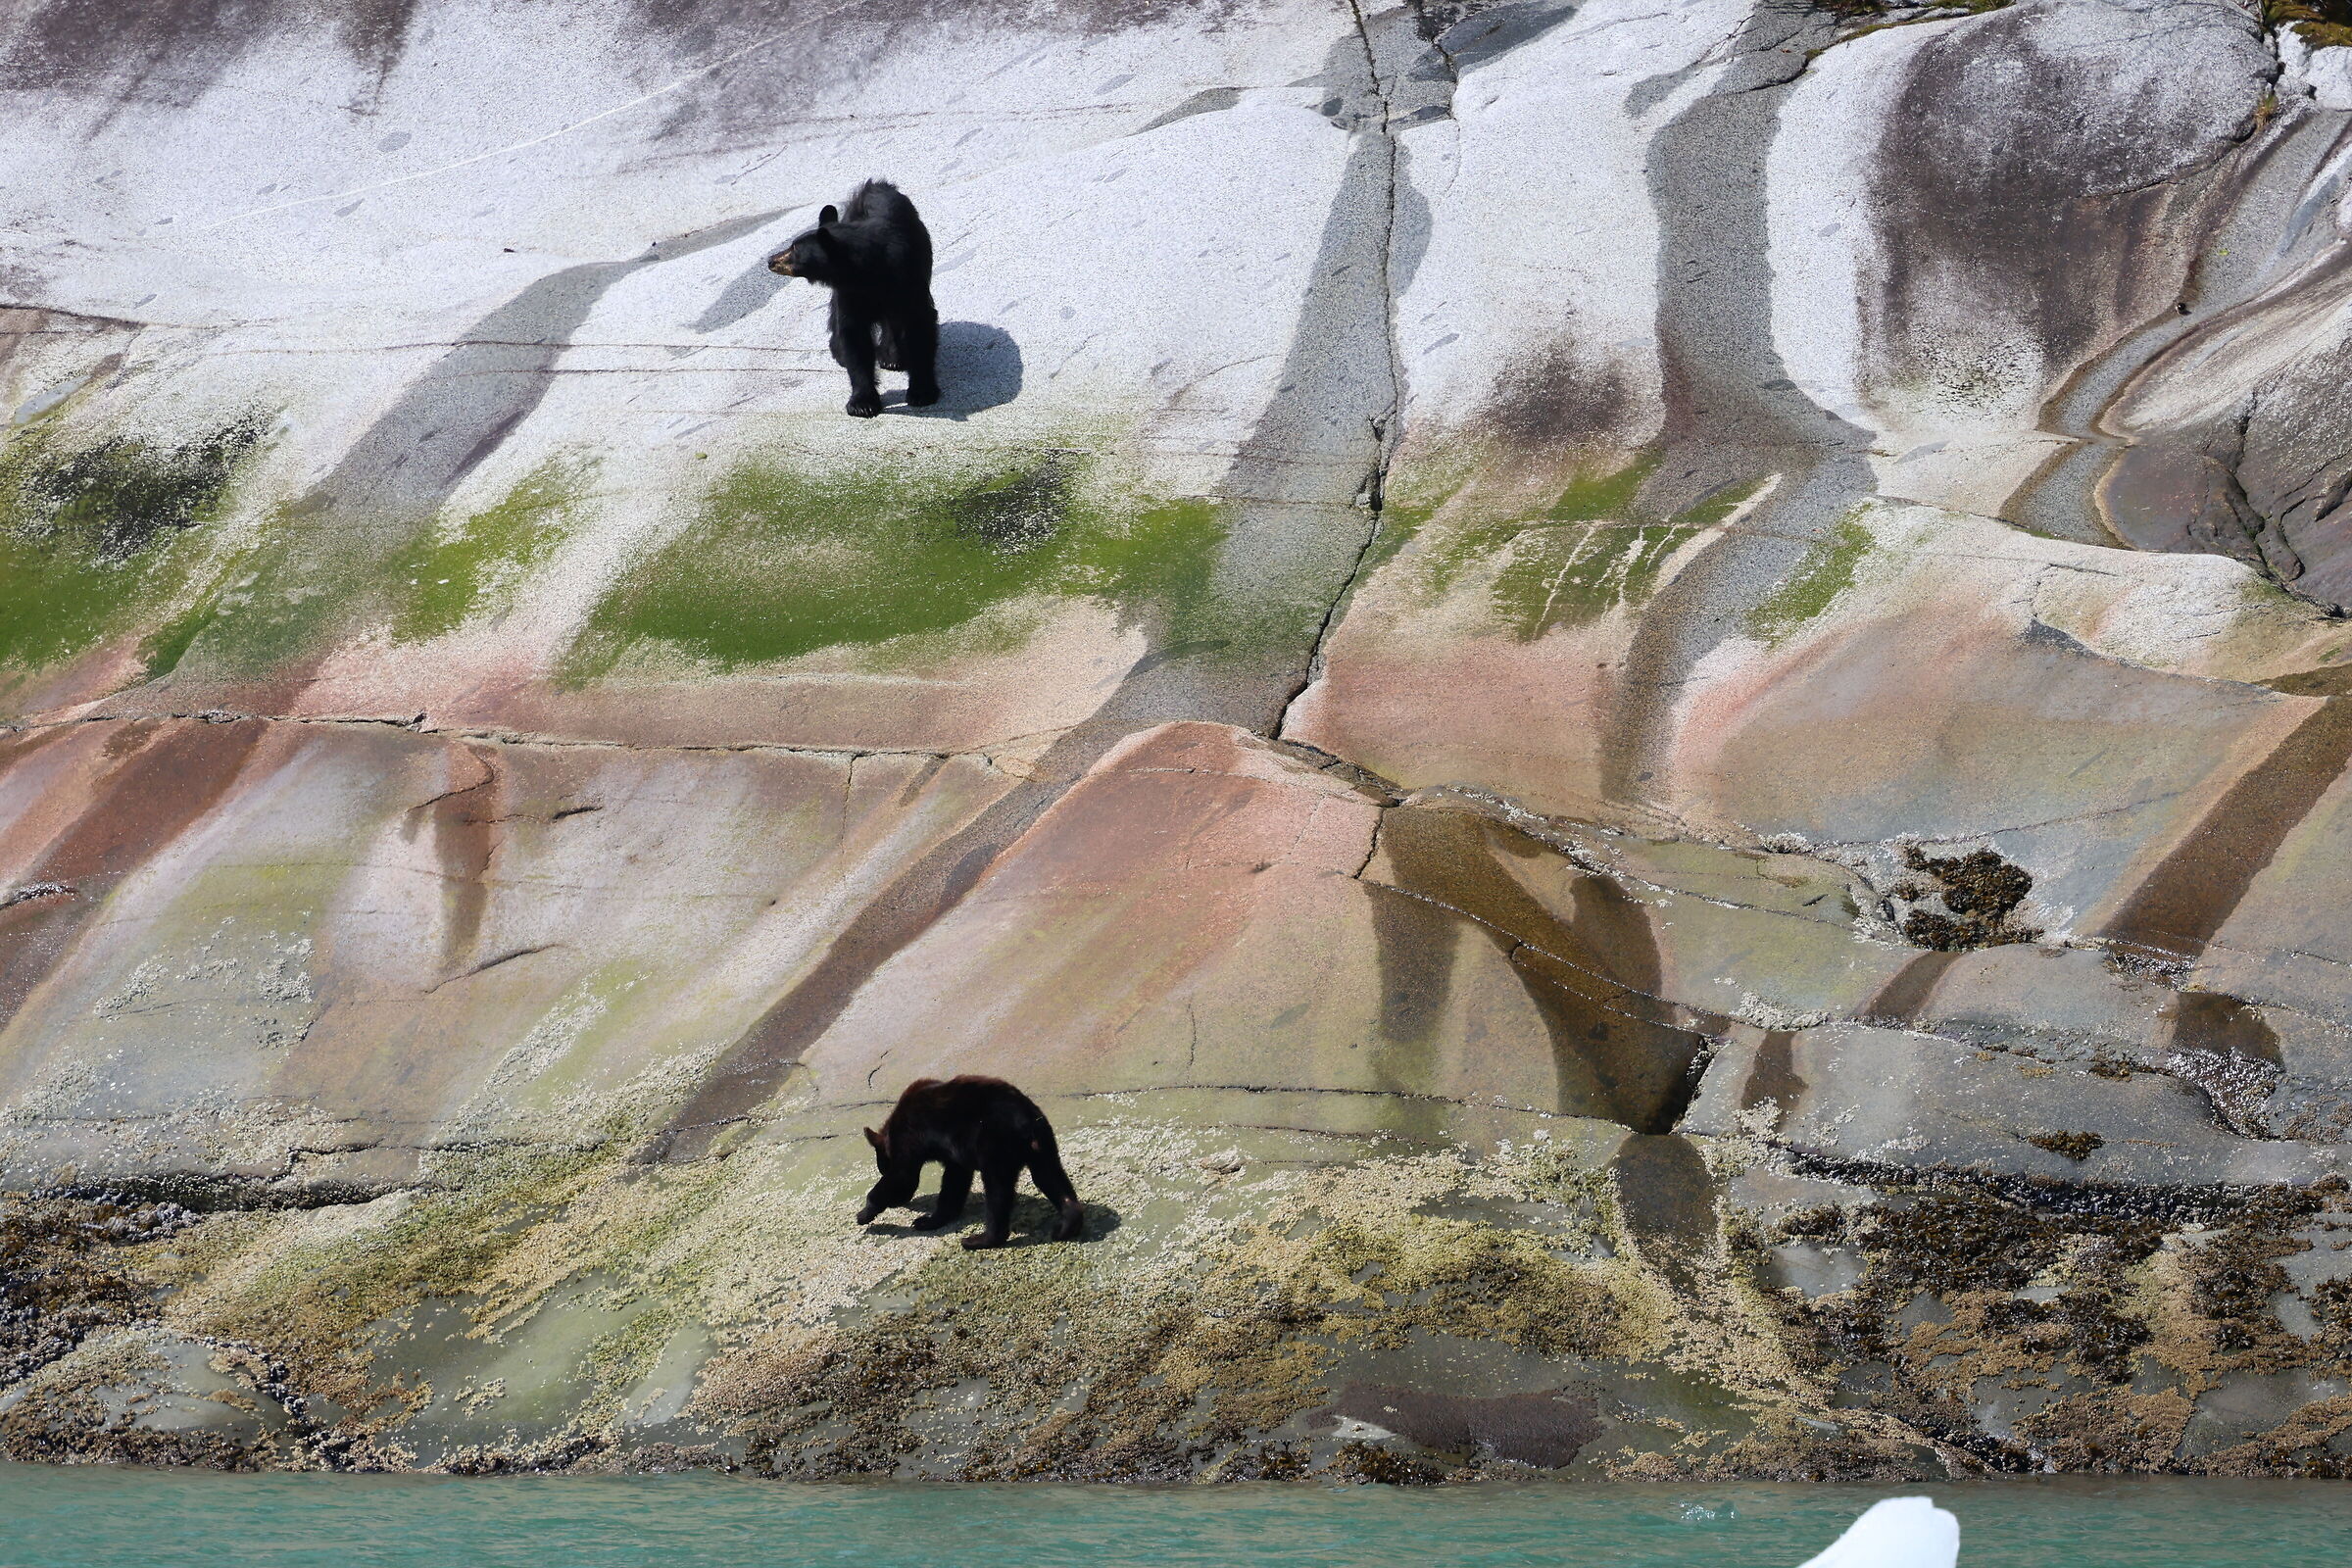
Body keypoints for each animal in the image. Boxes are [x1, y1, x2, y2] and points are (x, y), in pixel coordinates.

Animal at [766, 179, 940, 419]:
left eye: (794, 248)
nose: (770, 260)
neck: (866, 272)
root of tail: (876, 185)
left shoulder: (905, 277)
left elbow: (919, 324)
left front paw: (922, 392)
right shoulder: (850, 292)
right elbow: (853, 335)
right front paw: (862, 403)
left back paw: (893, 357)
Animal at [855, 1075, 1085, 1249]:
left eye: (881, 1166)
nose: (900, 1204)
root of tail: (1026, 1121)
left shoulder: (909, 1138)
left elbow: (903, 1176)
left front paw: (865, 1214)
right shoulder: (955, 1155)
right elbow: (954, 1182)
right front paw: (929, 1220)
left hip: (995, 1144)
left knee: (997, 1191)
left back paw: (979, 1240)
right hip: (1042, 1142)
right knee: (1049, 1175)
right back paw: (1067, 1225)